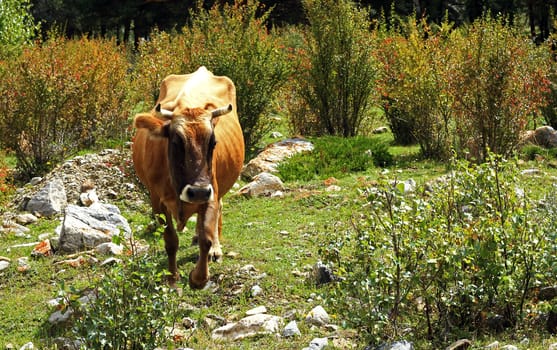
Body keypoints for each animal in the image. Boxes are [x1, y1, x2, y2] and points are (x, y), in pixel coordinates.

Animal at [131, 67, 244, 288]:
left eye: (213, 142)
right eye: (176, 142)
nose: (197, 191)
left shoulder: (211, 192)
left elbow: (206, 237)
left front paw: (198, 278)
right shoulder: (157, 201)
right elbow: (170, 239)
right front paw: (172, 276)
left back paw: (215, 248)